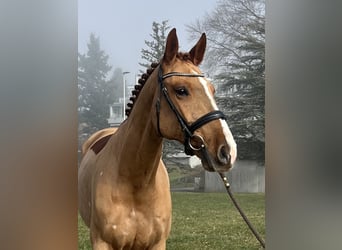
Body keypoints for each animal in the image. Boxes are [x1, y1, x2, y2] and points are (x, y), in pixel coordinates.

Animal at [79, 29, 236, 250]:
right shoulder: (102, 243)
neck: (135, 183)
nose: (227, 151)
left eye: (212, 90)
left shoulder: (157, 243)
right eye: (181, 90)